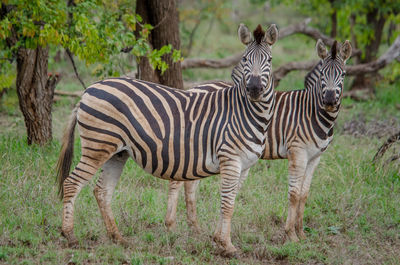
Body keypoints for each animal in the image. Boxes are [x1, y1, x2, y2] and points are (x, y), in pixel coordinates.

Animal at [56, 23, 280, 255]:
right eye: (245, 59)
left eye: (269, 60)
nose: (254, 89)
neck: (248, 112)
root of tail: (87, 90)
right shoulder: (230, 159)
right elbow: (227, 204)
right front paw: (227, 245)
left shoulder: (243, 166)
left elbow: (231, 201)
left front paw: (218, 239)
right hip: (97, 146)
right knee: (72, 183)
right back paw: (70, 236)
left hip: (117, 153)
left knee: (102, 191)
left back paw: (118, 238)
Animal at [164, 38, 352, 241]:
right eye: (323, 75)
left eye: (343, 74)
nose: (330, 101)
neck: (311, 112)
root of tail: (195, 87)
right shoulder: (297, 151)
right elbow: (294, 194)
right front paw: (291, 235)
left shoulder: (315, 157)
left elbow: (304, 194)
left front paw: (301, 234)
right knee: (177, 180)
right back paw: (171, 226)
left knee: (190, 183)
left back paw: (195, 229)